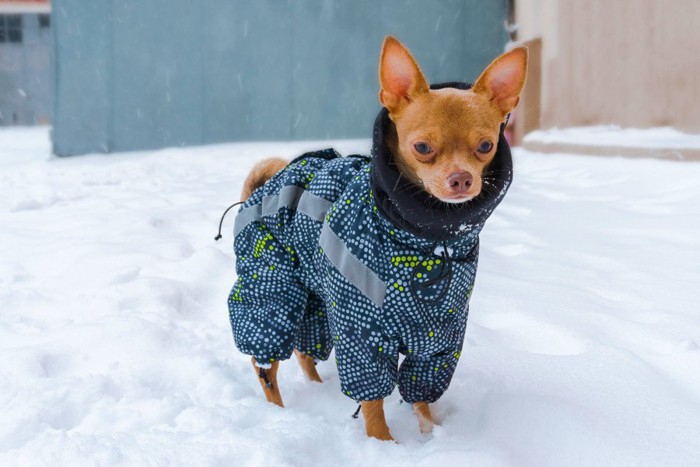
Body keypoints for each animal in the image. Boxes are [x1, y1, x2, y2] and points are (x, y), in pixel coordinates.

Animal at [232, 37, 528, 442]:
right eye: (422, 148)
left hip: (317, 300)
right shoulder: (362, 332)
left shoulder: (438, 339)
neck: (428, 239)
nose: (462, 178)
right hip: (274, 291)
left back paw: (317, 388)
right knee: (264, 360)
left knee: (305, 350)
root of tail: (263, 186)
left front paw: (430, 433)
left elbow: (421, 394)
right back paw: (277, 413)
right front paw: (384, 444)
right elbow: (373, 404)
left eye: (485, 146)